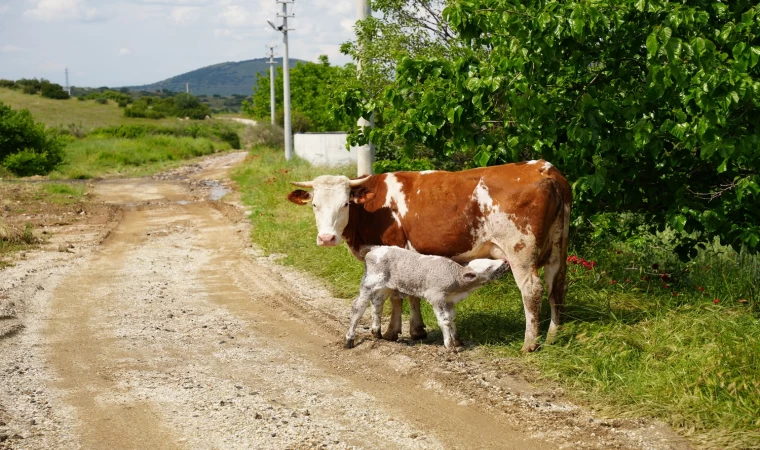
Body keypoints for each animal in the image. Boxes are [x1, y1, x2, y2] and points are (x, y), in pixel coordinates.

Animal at [288, 160, 572, 354]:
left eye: (345, 203)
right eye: (315, 204)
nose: (326, 238)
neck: (373, 208)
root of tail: (545, 168)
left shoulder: (395, 248)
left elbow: (396, 295)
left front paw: (392, 331)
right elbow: (410, 294)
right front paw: (416, 329)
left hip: (520, 251)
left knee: (532, 290)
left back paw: (529, 343)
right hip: (558, 248)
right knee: (556, 288)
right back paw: (552, 337)